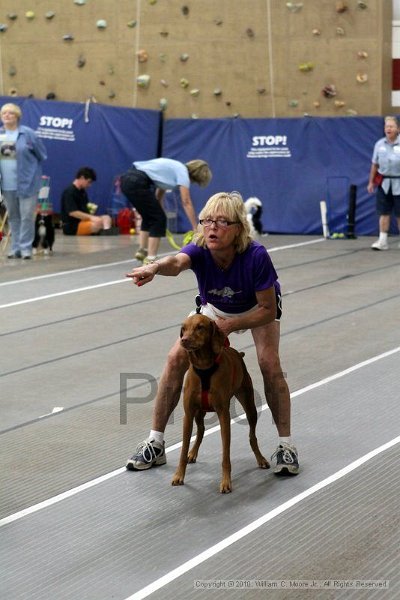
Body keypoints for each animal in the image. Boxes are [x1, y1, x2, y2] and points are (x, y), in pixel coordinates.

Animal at [172, 314, 268, 492]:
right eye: (183, 328)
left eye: (200, 327)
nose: (184, 340)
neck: (204, 367)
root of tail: (237, 353)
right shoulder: (188, 415)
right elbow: (183, 449)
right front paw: (178, 475)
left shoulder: (223, 415)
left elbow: (226, 454)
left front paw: (225, 482)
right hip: (199, 412)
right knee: (201, 430)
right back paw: (192, 453)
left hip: (249, 406)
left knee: (252, 436)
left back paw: (261, 459)